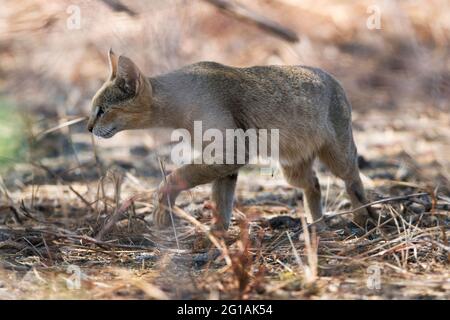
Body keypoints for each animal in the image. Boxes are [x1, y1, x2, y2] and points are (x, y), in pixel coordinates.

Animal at [88, 49, 376, 230]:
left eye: (102, 109)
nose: (89, 127)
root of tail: (332, 77)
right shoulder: (224, 161)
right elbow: (221, 200)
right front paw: (217, 234)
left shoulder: (232, 151)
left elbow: (175, 176)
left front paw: (162, 208)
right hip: (293, 168)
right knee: (314, 183)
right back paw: (317, 223)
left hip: (338, 155)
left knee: (354, 180)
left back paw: (364, 217)